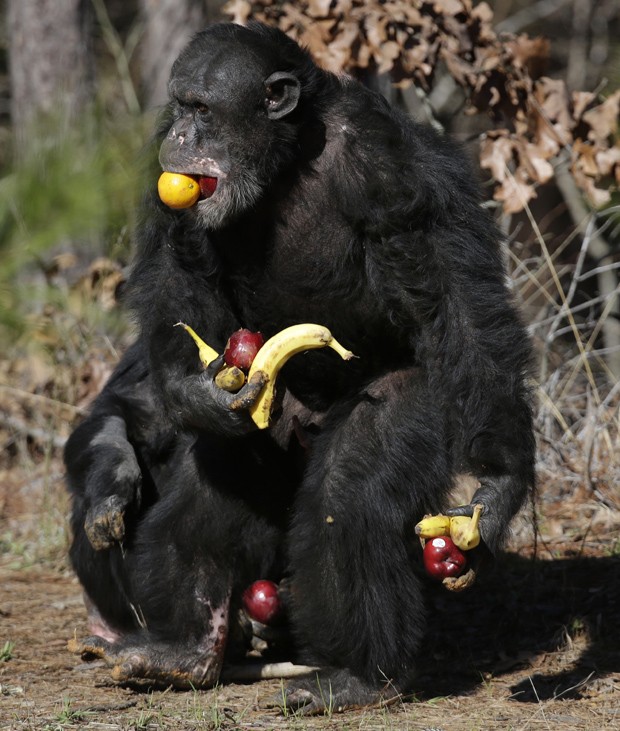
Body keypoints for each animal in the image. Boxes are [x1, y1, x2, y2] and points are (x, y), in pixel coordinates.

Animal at [65, 21, 536, 716]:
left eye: (204, 109)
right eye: (180, 107)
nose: (182, 135)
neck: (282, 165)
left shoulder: (393, 167)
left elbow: (456, 301)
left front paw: (498, 487)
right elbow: (180, 279)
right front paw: (183, 398)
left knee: (351, 488)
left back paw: (358, 675)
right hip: (267, 402)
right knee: (223, 464)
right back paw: (188, 648)